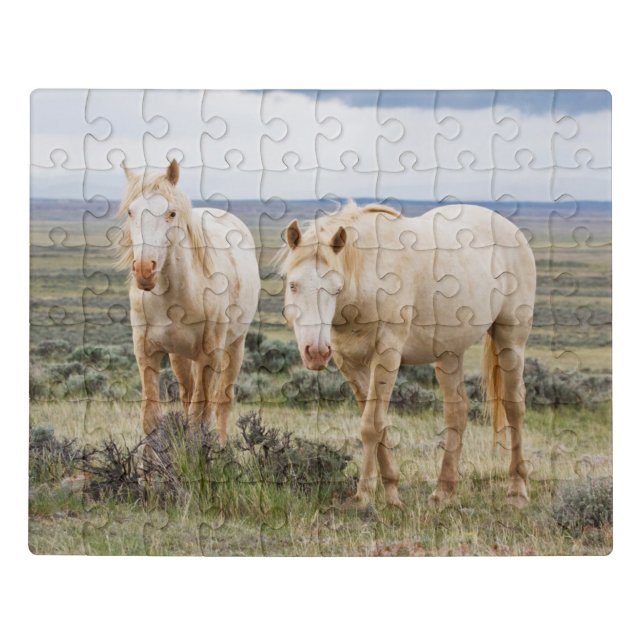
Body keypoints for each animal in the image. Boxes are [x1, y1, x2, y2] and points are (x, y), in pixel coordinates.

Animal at [116, 160, 260, 444]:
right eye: (130, 212)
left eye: (171, 213)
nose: (144, 271)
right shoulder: (147, 354)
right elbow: (151, 418)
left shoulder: (209, 356)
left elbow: (199, 418)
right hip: (180, 356)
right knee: (187, 394)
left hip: (234, 346)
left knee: (222, 401)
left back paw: (223, 444)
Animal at [277, 200, 536, 508]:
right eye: (293, 285)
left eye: (335, 288)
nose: (316, 352)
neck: (367, 279)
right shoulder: (349, 362)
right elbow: (377, 424)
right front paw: (391, 493)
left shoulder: (387, 355)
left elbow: (371, 425)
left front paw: (364, 496)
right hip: (449, 354)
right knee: (457, 411)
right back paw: (443, 491)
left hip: (511, 341)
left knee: (514, 407)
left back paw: (517, 491)